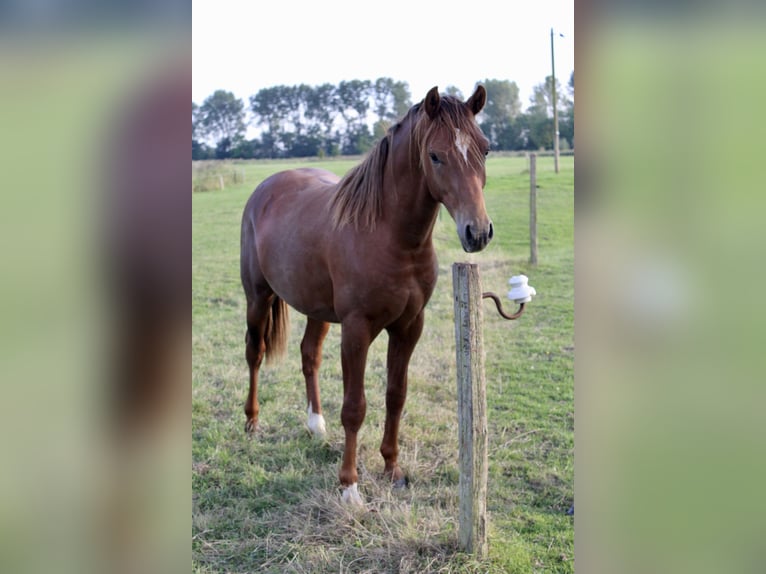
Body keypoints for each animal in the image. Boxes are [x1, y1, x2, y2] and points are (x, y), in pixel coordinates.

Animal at [238, 83, 492, 506]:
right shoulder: (357, 329)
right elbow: (355, 407)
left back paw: (315, 424)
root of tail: (266, 187)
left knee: (309, 355)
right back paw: (253, 423)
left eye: (485, 149)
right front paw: (349, 487)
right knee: (254, 354)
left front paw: (392, 469)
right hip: (258, 298)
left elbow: (396, 395)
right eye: (435, 155)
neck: (390, 236)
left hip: (317, 310)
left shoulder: (409, 326)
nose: (477, 232)